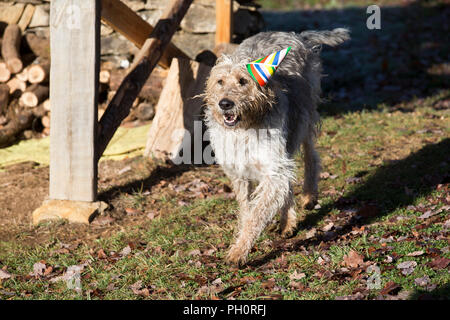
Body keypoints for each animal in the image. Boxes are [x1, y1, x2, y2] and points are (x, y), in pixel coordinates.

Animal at [204, 28, 352, 264]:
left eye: (243, 81)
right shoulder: (238, 171)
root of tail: (295, 35)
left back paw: (309, 195)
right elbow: (247, 209)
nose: (225, 104)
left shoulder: (274, 167)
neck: (245, 127)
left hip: (303, 119)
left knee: (311, 156)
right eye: (220, 81)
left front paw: (238, 252)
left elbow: (256, 215)